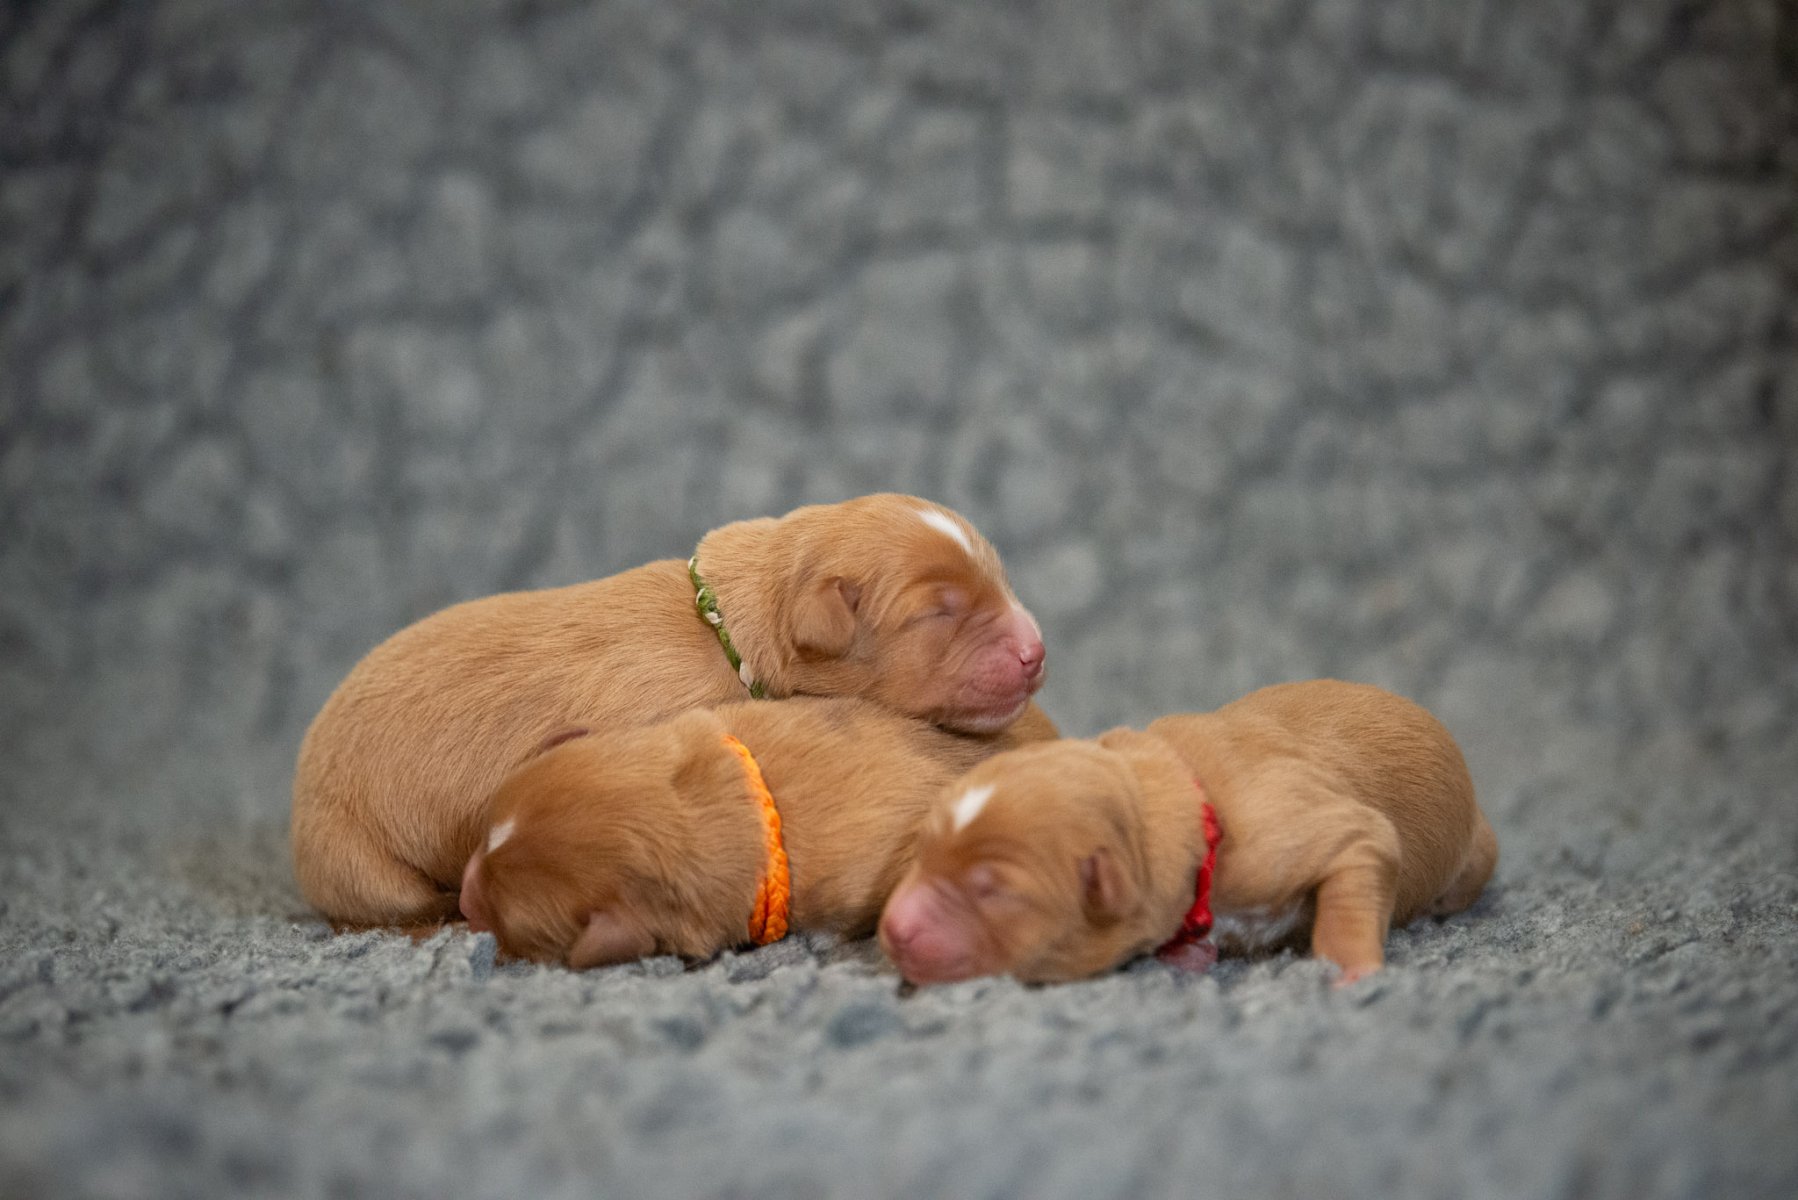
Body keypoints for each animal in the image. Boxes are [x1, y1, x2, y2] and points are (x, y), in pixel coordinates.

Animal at [879, 680, 1497, 985]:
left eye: (992, 891)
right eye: (921, 852)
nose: (892, 930)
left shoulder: (1303, 833)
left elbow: (1363, 847)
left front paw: (1349, 969)